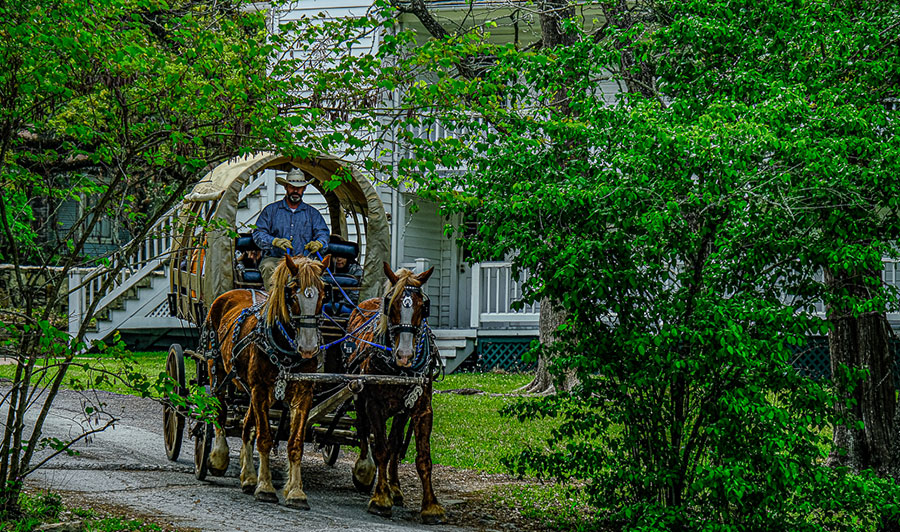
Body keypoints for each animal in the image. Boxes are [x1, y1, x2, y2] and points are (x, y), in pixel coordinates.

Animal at [200, 256, 330, 510]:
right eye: (292, 294)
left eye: (323, 294)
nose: (309, 348)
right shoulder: (260, 388)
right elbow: (265, 438)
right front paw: (265, 487)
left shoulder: (303, 394)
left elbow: (295, 443)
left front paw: (295, 491)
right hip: (217, 370)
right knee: (219, 411)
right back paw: (218, 457)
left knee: (246, 425)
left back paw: (249, 476)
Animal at [342, 262, 444, 524]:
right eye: (392, 304)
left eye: (422, 307)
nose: (405, 356)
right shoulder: (374, 404)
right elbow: (381, 449)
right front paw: (380, 498)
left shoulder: (421, 408)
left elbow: (421, 457)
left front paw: (431, 506)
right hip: (358, 396)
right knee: (364, 431)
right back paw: (365, 470)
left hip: (401, 411)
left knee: (396, 443)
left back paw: (395, 488)